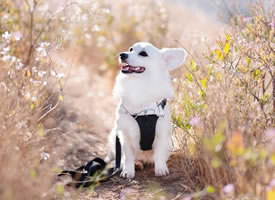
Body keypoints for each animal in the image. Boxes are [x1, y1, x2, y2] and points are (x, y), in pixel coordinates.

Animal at [106, 41, 187, 178]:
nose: (122, 54)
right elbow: (128, 157)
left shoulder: (162, 135)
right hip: (114, 136)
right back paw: (135, 164)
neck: (139, 84)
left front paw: (161, 169)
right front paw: (128, 171)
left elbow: (159, 154)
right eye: (131, 49)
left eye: (143, 54)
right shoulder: (125, 135)